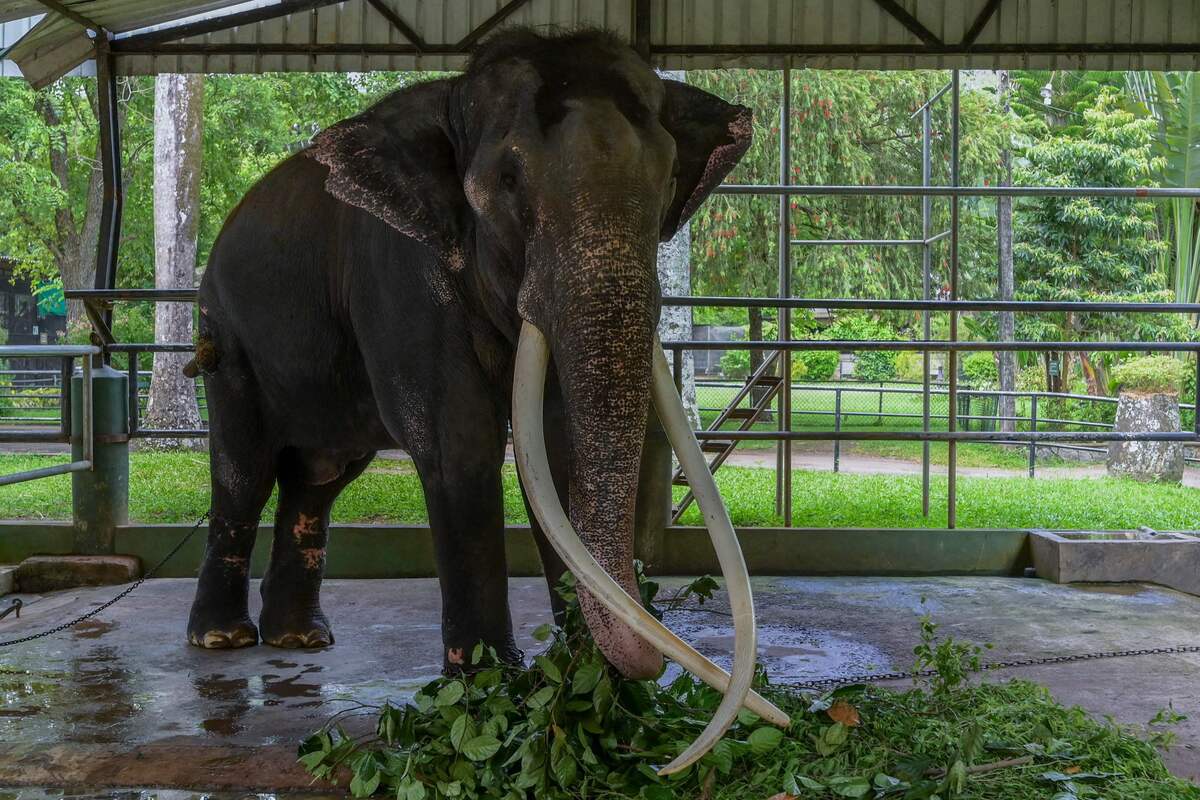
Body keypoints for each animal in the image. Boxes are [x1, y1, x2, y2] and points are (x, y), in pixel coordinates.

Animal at [185, 27, 787, 770]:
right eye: (507, 181)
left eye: (668, 178)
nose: (650, 671)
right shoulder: (401, 271)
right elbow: (459, 441)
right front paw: (487, 687)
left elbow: (558, 460)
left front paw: (584, 685)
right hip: (226, 338)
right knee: (244, 471)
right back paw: (224, 641)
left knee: (318, 479)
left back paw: (300, 640)